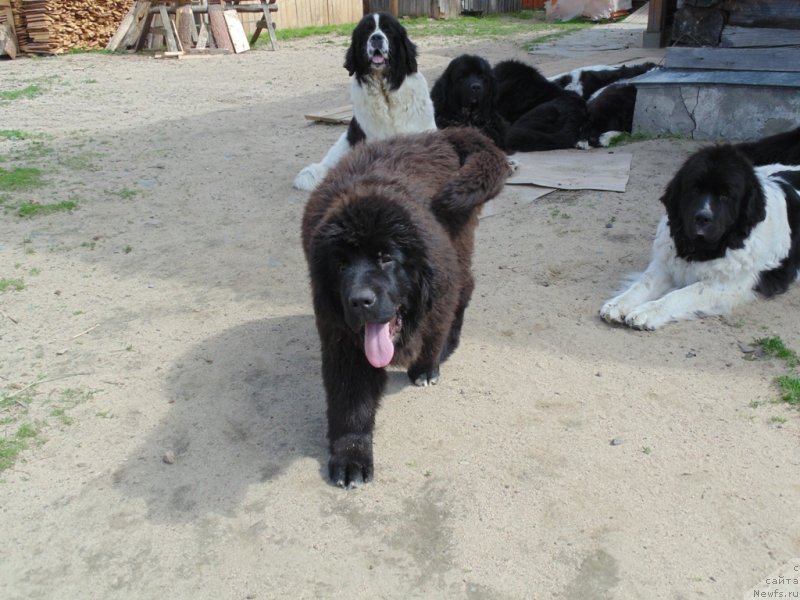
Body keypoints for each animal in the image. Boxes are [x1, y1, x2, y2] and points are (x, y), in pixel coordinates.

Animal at [304, 126, 510, 488]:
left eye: (386, 257)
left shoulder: (438, 292)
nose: (360, 301)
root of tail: (439, 135)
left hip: (459, 245)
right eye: (341, 264)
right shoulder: (342, 340)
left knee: (465, 287)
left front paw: (426, 368)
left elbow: (433, 333)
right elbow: (350, 402)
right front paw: (351, 455)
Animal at [600, 146, 800, 332]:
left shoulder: (726, 285)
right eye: (695, 190)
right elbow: (643, 284)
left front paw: (646, 312)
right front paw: (617, 304)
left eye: (725, 195)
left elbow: (681, 294)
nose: (703, 217)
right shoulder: (665, 264)